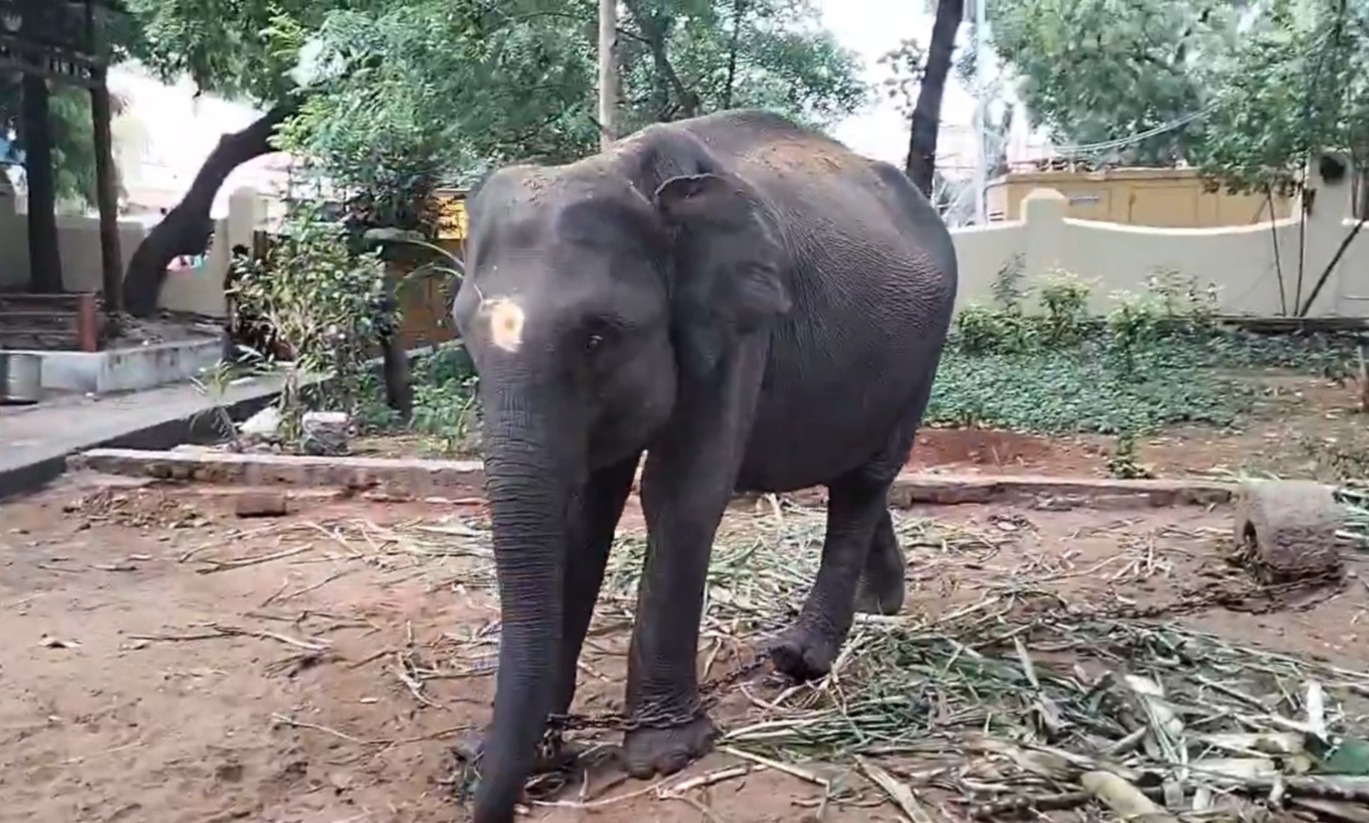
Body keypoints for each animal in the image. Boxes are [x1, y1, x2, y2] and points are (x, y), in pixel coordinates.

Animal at [451, 108, 958, 823]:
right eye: (462, 331)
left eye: (599, 335)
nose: (477, 776)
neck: (620, 169)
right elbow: (584, 513)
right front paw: (522, 750)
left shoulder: (738, 319)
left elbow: (681, 493)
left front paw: (665, 755)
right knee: (857, 473)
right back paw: (879, 607)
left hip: (926, 350)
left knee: (863, 482)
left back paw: (799, 658)